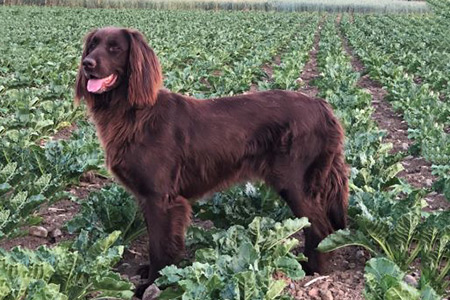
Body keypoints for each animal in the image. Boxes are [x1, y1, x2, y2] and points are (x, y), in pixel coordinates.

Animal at [74, 26, 348, 298]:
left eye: (114, 48)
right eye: (92, 46)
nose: (87, 64)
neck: (134, 114)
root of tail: (323, 106)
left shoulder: (161, 198)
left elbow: (159, 246)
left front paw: (155, 284)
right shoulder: (147, 197)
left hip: (295, 183)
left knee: (320, 226)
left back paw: (311, 269)